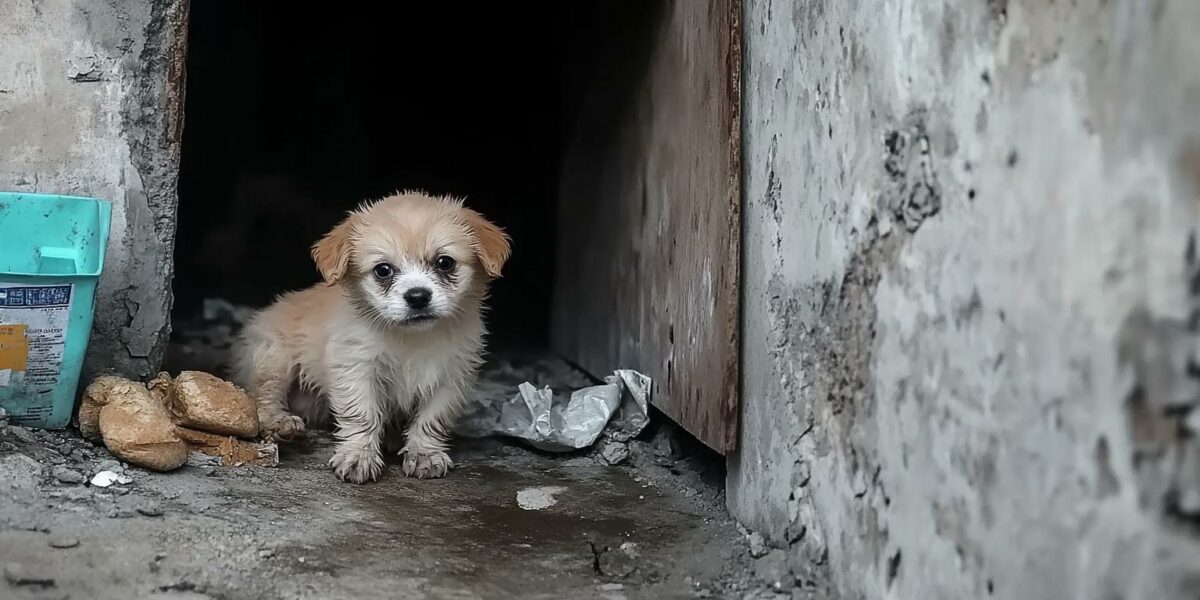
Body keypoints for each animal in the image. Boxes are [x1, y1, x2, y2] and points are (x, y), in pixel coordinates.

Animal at [231, 192, 508, 482]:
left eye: (445, 263)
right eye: (383, 270)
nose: (417, 296)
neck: (411, 338)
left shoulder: (450, 378)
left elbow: (431, 421)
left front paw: (424, 454)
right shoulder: (356, 370)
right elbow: (362, 416)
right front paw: (358, 456)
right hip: (273, 359)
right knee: (264, 396)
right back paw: (281, 422)